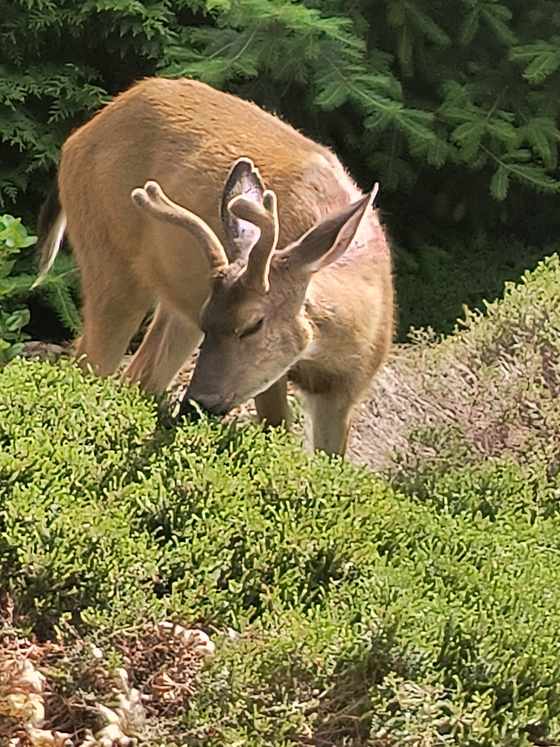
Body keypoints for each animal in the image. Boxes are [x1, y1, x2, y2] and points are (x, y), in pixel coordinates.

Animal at [36, 76, 394, 456]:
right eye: (219, 320)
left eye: (253, 324)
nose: (197, 403)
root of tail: (74, 140)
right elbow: (277, 428)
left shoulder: (347, 389)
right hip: (110, 261)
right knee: (89, 360)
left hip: (176, 308)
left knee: (137, 376)